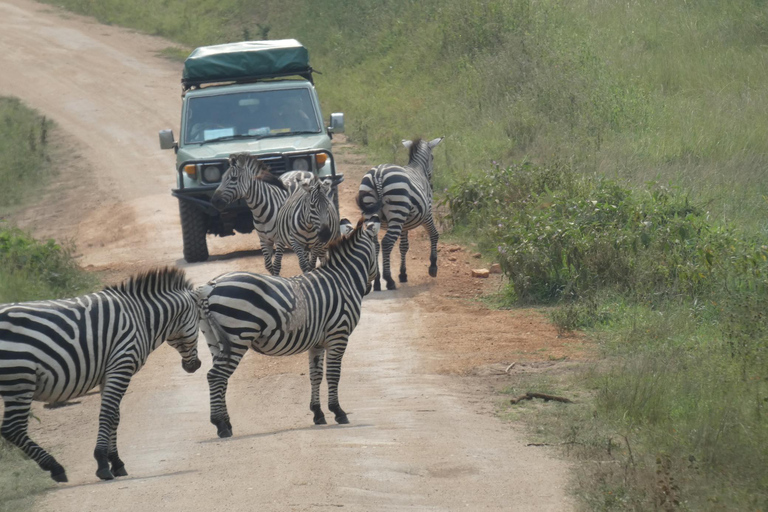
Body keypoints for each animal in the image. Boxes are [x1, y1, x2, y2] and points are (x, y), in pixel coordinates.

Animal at [0, 270, 201, 482]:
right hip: (20, 378)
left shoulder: (109, 372)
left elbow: (115, 416)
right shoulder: (121, 364)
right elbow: (108, 414)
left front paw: (117, 462)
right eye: (199, 323)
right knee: (13, 428)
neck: (141, 318)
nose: (196, 365)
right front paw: (103, 463)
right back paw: (55, 467)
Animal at [195, 215, 380, 436]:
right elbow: (333, 375)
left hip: (214, 339)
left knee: (219, 378)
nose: (368, 288)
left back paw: (226, 423)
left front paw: (318, 413)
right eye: (377, 249)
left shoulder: (318, 342)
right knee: (216, 376)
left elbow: (315, 375)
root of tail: (209, 287)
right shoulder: (339, 334)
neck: (343, 279)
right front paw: (338, 412)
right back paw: (220, 425)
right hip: (238, 335)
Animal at [358, 136, 444, 290]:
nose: (432, 185)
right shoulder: (427, 214)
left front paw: (403, 274)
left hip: (372, 214)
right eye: (433, 157)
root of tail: (378, 174)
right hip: (397, 213)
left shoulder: (405, 224)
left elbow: (403, 246)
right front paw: (433, 267)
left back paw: (377, 282)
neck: (417, 168)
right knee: (386, 243)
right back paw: (389, 280)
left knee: (375, 244)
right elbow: (434, 234)